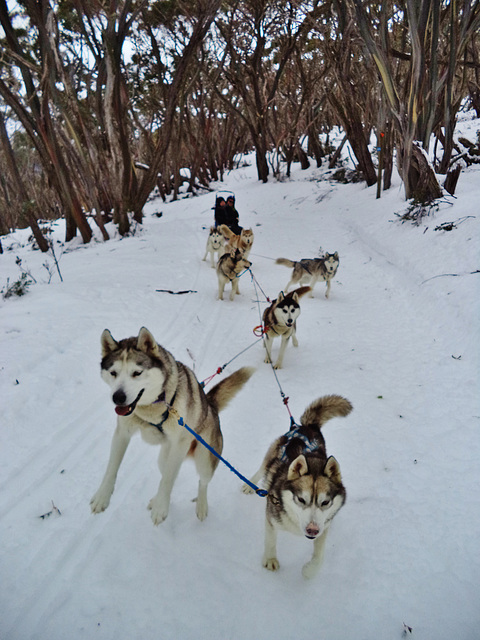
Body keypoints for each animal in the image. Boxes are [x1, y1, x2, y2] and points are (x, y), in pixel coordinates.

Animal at [91, 330, 255, 524]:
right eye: (113, 373)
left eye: (137, 373)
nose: (118, 397)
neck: (154, 406)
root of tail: (210, 406)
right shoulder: (122, 433)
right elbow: (112, 468)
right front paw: (102, 497)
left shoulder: (180, 443)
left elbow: (168, 479)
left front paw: (161, 508)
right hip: (165, 457)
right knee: (167, 473)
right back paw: (156, 499)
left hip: (204, 460)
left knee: (201, 482)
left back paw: (200, 506)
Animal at [244, 396, 352, 580]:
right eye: (301, 499)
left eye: (325, 502)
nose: (312, 530)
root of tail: (307, 426)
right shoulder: (271, 518)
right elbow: (270, 541)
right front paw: (270, 559)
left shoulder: (323, 528)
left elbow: (320, 556)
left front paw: (309, 571)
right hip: (272, 453)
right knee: (263, 468)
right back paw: (249, 484)